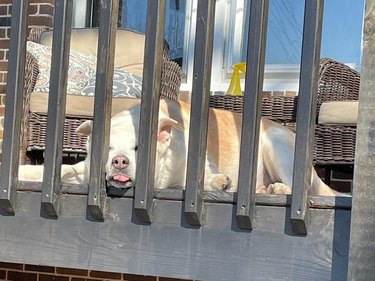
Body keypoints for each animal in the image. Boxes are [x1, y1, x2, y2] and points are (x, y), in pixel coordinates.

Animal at [19, 99, 340, 195]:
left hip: (277, 143)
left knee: (300, 187)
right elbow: (61, 169)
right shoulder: (83, 170)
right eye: (108, 149)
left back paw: (276, 189)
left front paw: (217, 181)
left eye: (138, 148)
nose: (120, 161)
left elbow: (200, 176)